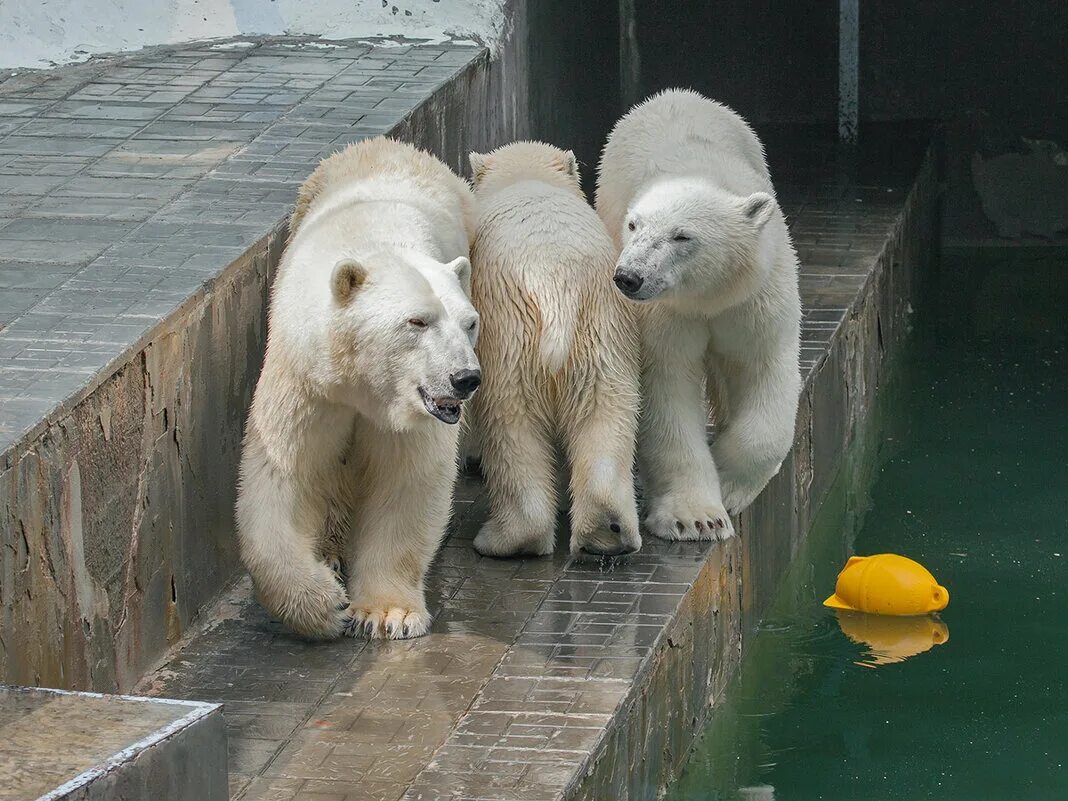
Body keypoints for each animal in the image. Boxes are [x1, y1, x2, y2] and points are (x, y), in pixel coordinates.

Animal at [240, 136, 482, 640]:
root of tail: (389, 143)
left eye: (469, 323)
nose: (465, 379)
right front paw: (323, 604)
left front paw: (387, 613)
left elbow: (406, 478)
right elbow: (285, 474)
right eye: (417, 321)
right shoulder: (306, 380)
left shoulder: (410, 411)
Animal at [463, 143, 636, 559]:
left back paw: (503, 539)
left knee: (509, 420)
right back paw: (606, 530)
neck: (526, 178)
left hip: (510, 334)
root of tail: (554, 283)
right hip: (601, 331)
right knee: (606, 411)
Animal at [593, 87, 803, 540]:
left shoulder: (755, 298)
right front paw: (697, 518)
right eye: (634, 226)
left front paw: (729, 481)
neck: (709, 295)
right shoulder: (666, 315)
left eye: (682, 236)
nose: (628, 277)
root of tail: (674, 94)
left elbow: (765, 370)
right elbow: (667, 386)